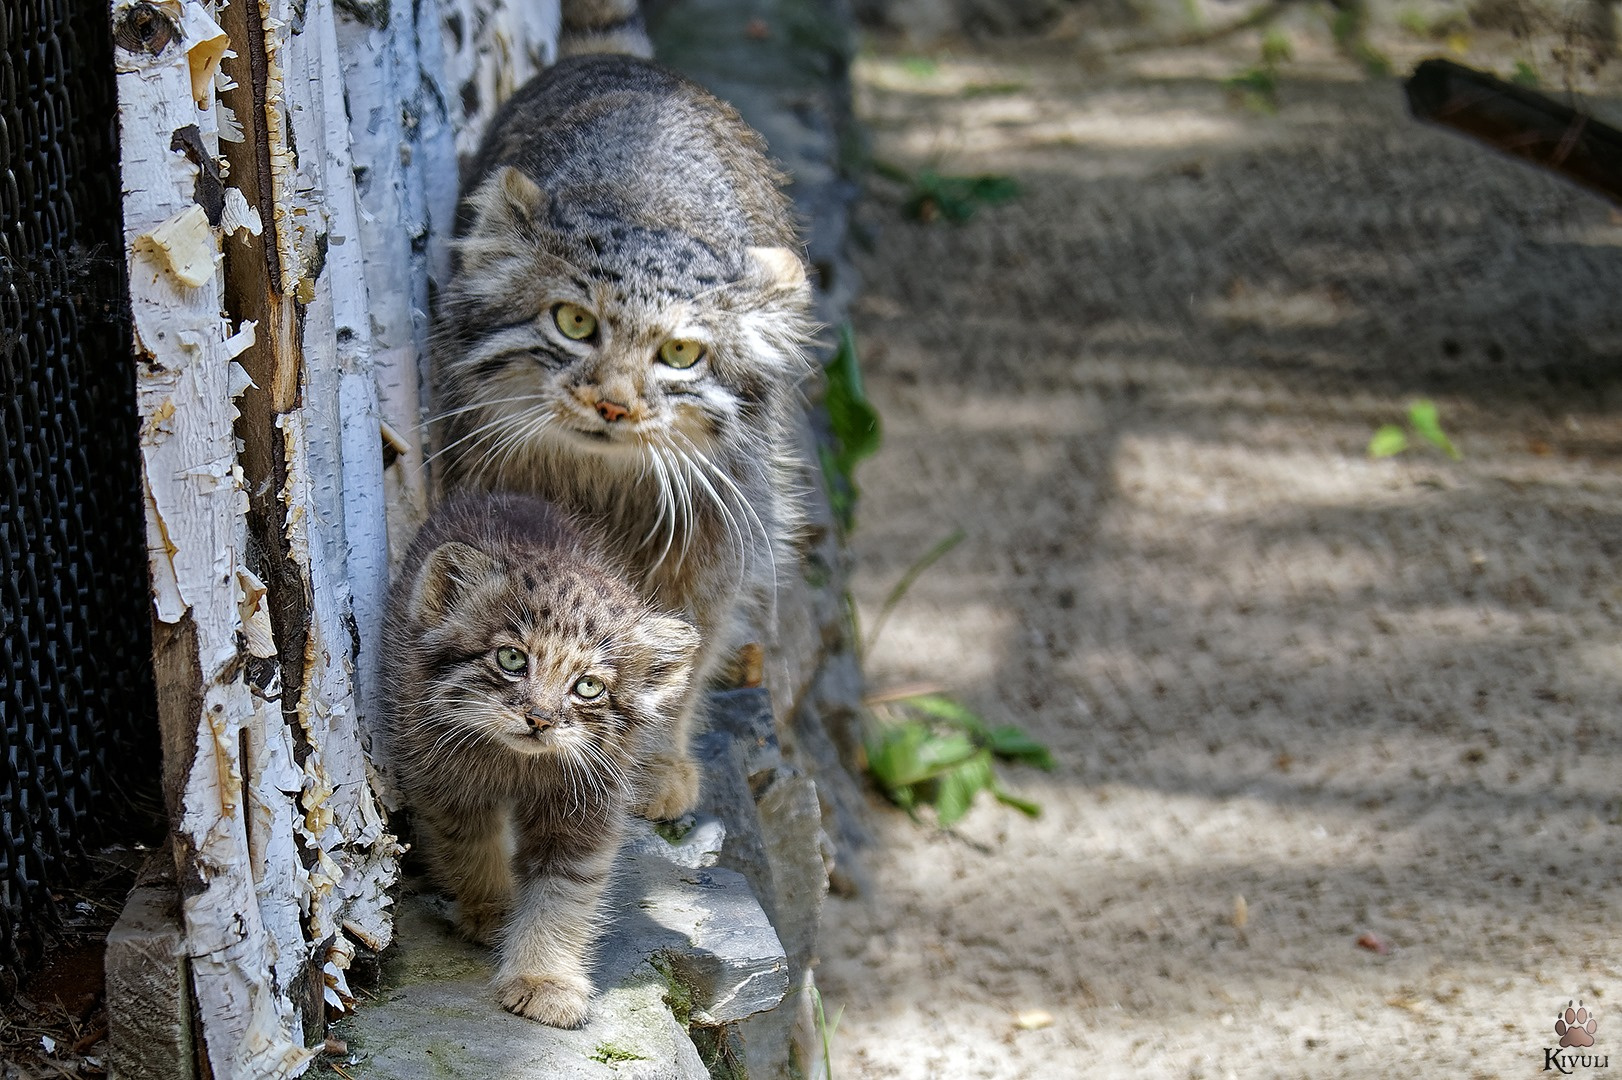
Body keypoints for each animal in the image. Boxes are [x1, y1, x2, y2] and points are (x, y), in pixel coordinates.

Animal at [379, 492, 697, 1024]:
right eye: (512, 659)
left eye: (588, 686)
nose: (540, 719)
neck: (517, 764)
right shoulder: (444, 783)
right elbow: (472, 850)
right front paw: (492, 910)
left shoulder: (585, 810)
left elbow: (563, 893)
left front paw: (544, 979)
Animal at [434, 35, 817, 817]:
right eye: (574, 323)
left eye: (680, 354)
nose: (613, 404)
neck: (601, 483)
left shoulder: (713, 544)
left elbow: (676, 657)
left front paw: (652, 764)